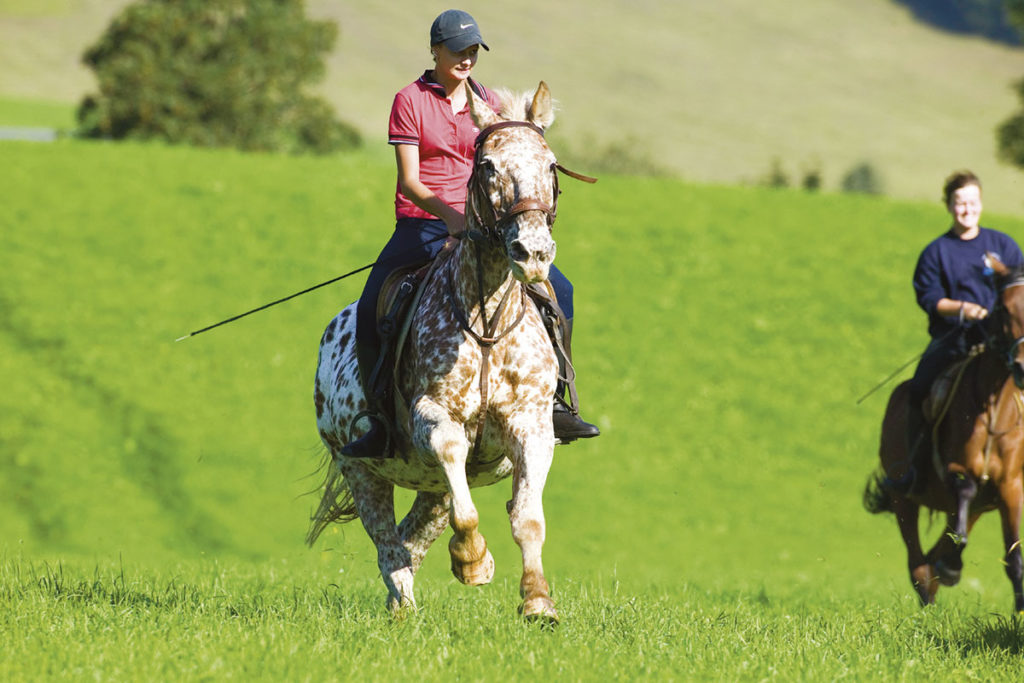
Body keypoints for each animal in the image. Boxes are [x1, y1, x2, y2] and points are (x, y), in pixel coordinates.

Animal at [307, 81, 589, 626]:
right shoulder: (433, 417)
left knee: (412, 540)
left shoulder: (532, 425)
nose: (533, 253)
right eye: (489, 166)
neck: (487, 323)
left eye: (550, 165)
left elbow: (528, 519)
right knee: (389, 545)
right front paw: (474, 562)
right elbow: (461, 482)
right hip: (361, 468)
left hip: (427, 487)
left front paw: (537, 602)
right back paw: (405, 609)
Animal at [868, 255, 1024, 614]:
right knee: (917, 563)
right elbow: (964, 489)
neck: (994, 408)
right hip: (904, 498)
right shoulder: (956, 469)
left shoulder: (1010, 486)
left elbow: (1014, 557)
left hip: (979, 506)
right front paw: (953, 566)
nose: (1023, 366)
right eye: (1004, 309)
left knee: (934, 553)